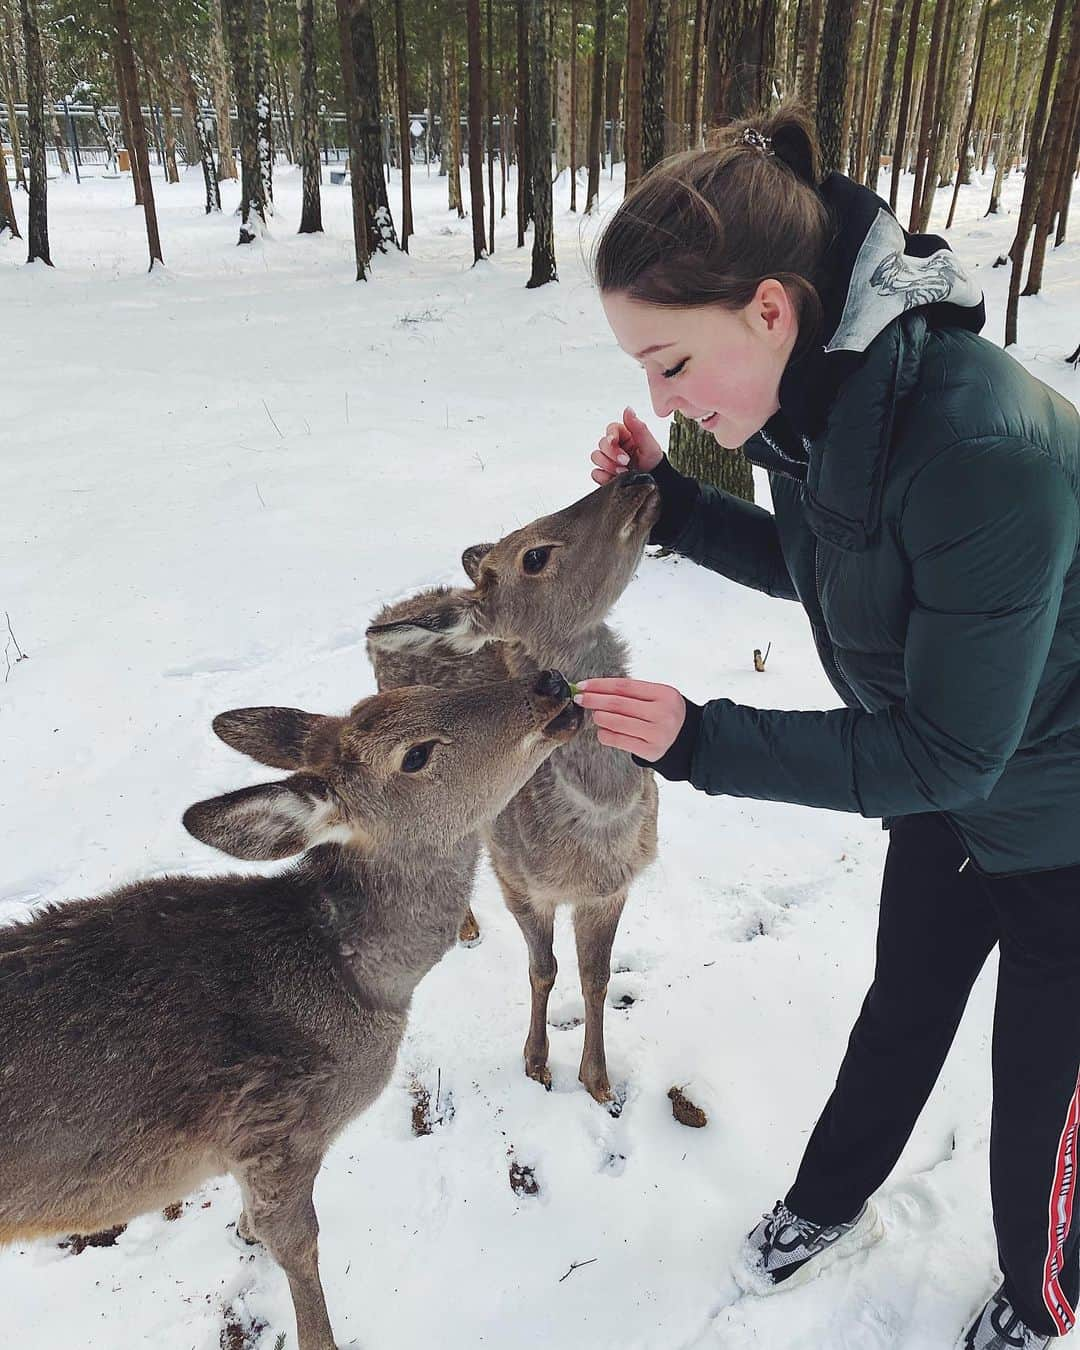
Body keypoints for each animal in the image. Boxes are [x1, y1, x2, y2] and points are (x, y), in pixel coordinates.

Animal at [0, 675, 583, 1350]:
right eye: (415, 755)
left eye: (423, 683)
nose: (550, 684)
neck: (364, 987)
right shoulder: (273, 1130)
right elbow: (299, 1250)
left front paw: (242, 1232)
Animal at [367, 475, 661, 1107]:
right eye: (534, 556)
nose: (637, 477)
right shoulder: (519, 880)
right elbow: (543, 968)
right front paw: (536, 1063)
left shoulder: (613, 889)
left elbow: (597, 977)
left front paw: (599, 1082)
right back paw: (465, 925)